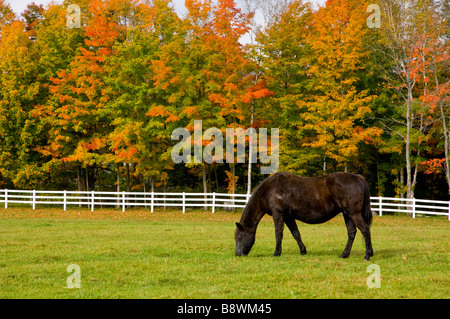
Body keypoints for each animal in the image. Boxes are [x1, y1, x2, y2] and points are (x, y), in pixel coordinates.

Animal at [234, 174, 374, 262]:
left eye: (240, 237)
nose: (237, 254)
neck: (271, 189)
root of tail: (358, 178)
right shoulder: (288, 217)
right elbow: (296, 233)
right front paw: (303, 251)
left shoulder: (278, 214)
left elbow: (278, 234)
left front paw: (276, 253)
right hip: (347, 214)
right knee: (352, 233)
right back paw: (344, 254)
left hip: (353, 214)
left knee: (365, 230)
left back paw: (367, 255)